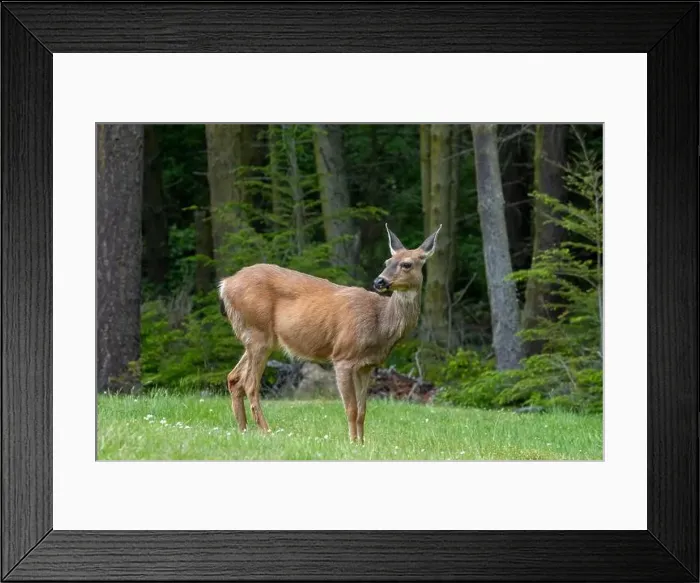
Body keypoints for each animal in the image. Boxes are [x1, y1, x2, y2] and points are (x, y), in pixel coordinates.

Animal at [217, 223, 442, 443]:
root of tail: (224, 285)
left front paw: (362, 444)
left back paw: (243, 431)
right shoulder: (342, 356)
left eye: (407, 264)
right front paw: (352, 443)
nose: (379, 281)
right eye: (387, 261)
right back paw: (266, 431)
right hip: (258, 332)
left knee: (234, 378)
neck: (380, 324)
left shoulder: (367, 366)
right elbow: (351, 409)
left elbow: (363, 411)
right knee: (249, 383)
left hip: (260, 338)